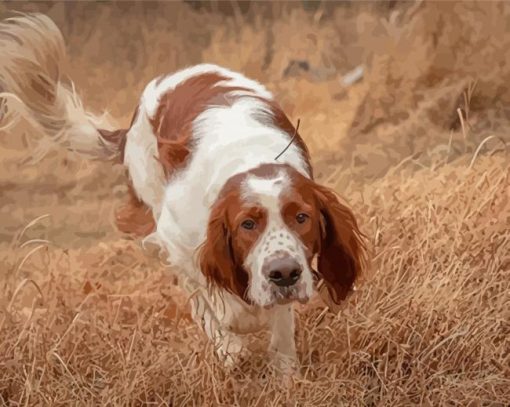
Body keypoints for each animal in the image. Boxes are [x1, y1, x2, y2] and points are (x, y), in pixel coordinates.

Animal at [0, 12, 366, 372]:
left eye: (302, 217)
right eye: (247, 224)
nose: (284, 274)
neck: (250, 158)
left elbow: (278, 324)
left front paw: (284, 373)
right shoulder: (178, 239)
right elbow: (215, 299)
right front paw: (232, 342)